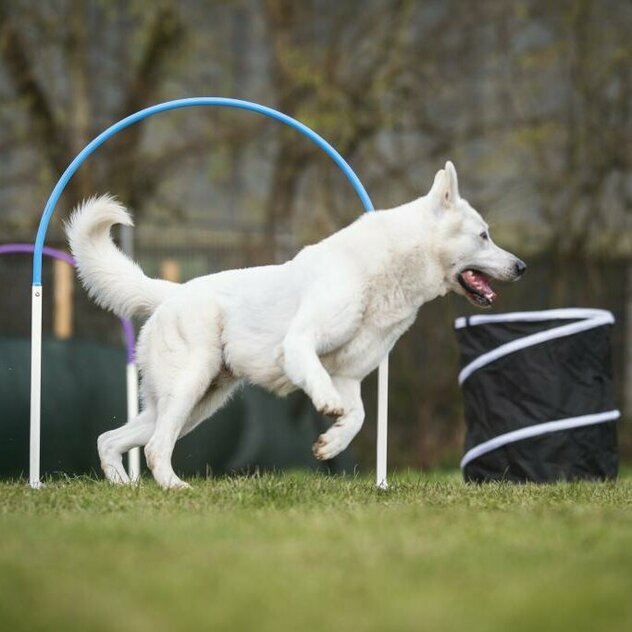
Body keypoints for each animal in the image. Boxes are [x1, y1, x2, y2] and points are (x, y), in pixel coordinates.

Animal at [68, 160, 524, 486]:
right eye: (484, 235)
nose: (521, 267)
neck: (383, 273)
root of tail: (170, 293)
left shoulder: (350, 377)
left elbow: (359, 417)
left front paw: (330, 445)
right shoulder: (300, 345)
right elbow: (324, 386)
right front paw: (326, 408)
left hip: (193, 404)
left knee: (110, 440)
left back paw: (124, 487)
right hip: (187, 389)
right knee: (154, 449)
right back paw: (176, 490)